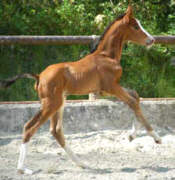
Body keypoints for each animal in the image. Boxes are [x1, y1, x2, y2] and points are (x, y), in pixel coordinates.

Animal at [0, 5, 161, 174]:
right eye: (136, 26)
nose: (152, 40)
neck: (106, 56)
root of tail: (38, 76)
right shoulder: (111, 87)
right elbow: (132, 102)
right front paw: (156, 137)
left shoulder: (106, 90)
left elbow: (135, 96)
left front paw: (132, 136)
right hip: (51, 104)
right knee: (31, 128)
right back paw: (22, 169)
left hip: (58, 103)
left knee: (54, 130)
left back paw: (82, 164)